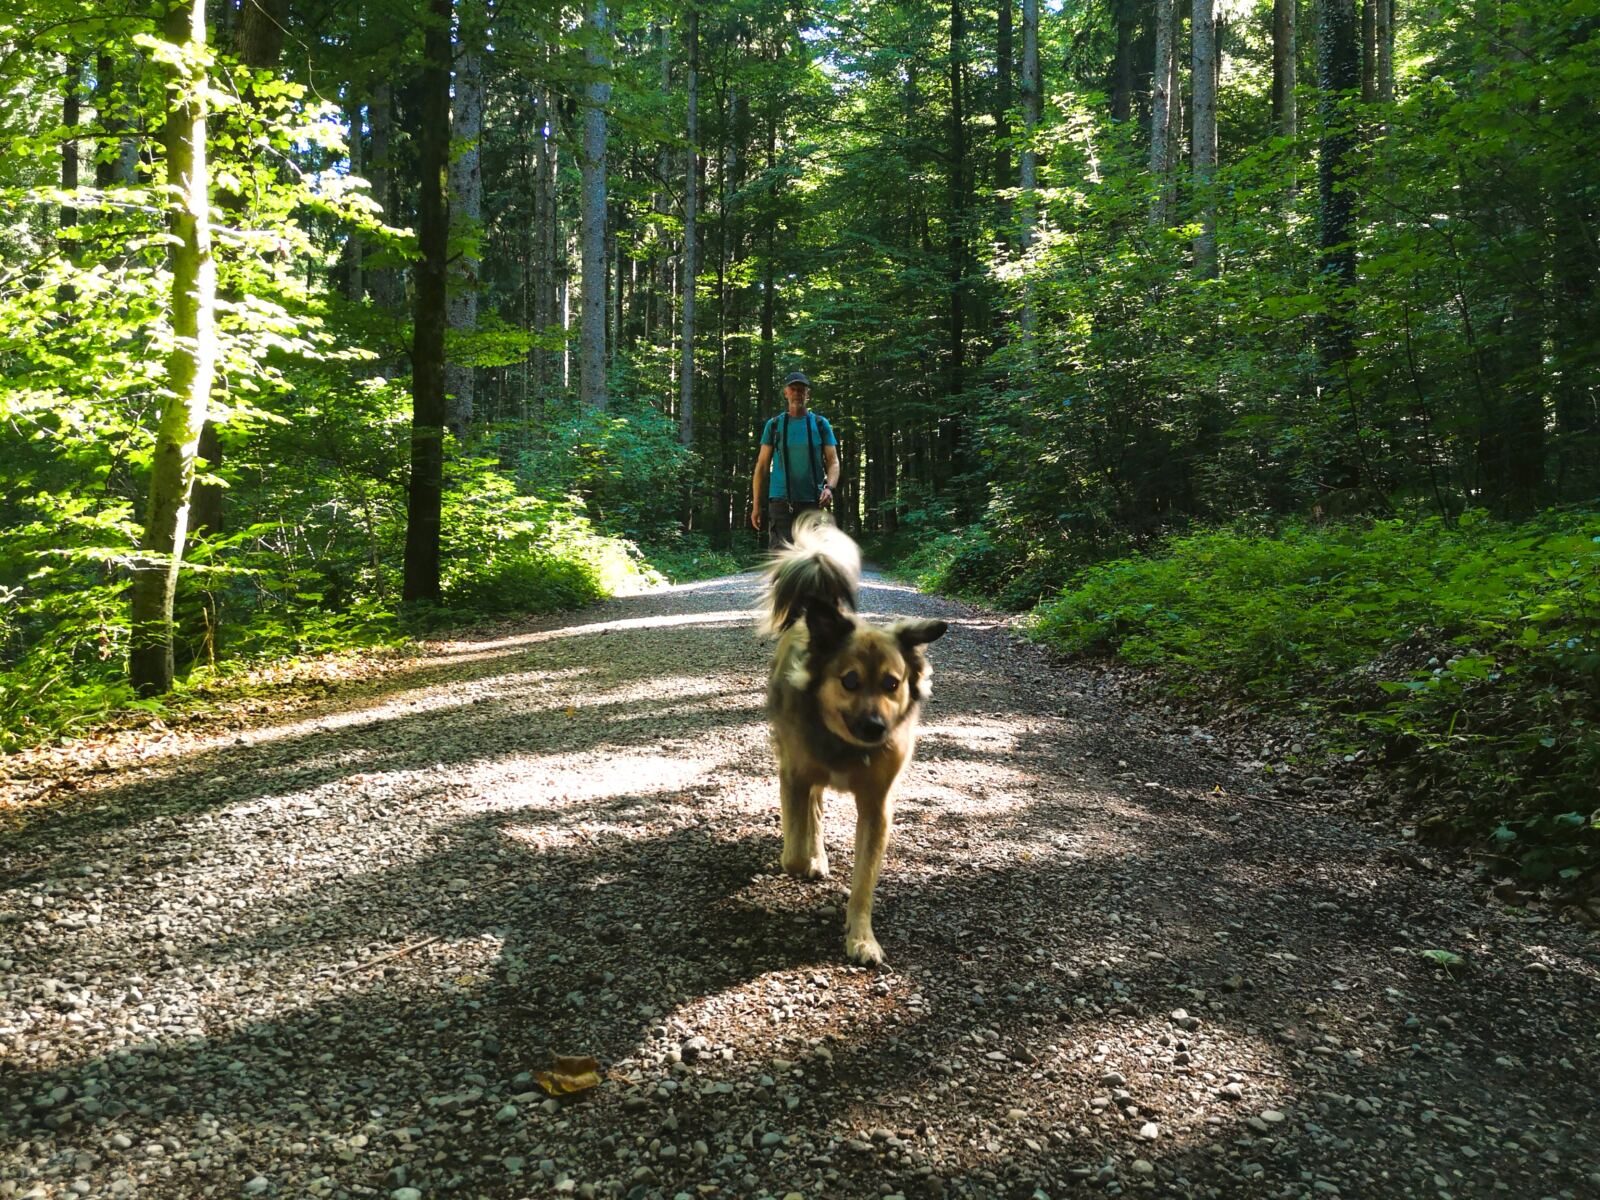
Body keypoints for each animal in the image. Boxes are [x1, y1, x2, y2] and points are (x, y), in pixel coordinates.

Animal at [758, 512, 947, 965]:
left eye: (892, 683)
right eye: (849, 680)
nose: (876, 727)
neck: (846, 747)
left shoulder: (877, 807)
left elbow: (864, 881)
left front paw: (862, 938)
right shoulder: (794, 775)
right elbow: (794, 849)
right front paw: (805, 858)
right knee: (812, 811)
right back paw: (816, 855)